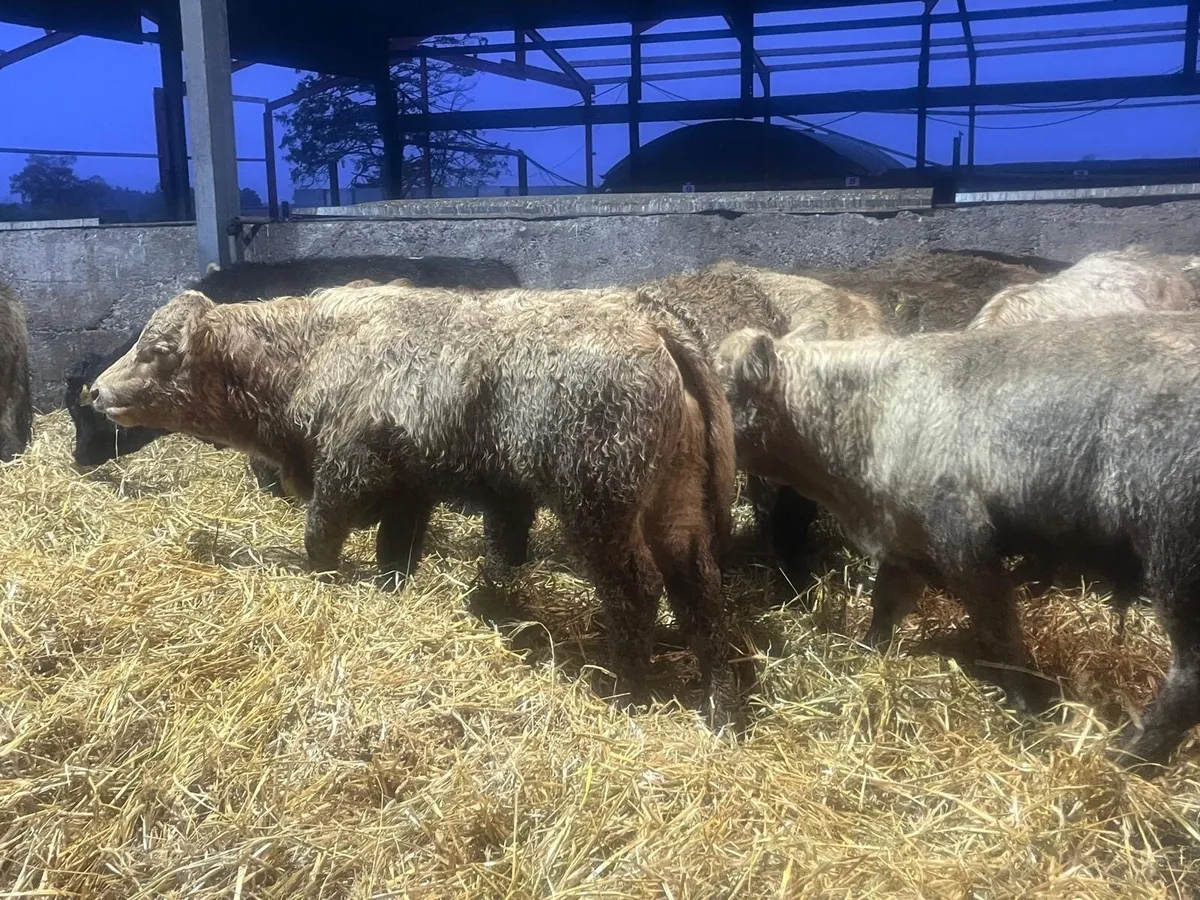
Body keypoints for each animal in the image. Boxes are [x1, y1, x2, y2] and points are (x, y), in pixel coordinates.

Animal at [89, 283, 741, 727]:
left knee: (638, 588)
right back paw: (717, 698)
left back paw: (627, 687)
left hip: (598, 505)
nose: (94, 390)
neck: (313, 352)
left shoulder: (349, 472)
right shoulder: (409, 491)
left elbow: (321, 540)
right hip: (675, 503)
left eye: (159, 351)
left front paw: (323, 584)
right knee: (697, 584)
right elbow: (394, 557)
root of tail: (647, 317)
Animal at [714, 311, 1200, 774]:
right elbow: (885, 607)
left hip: (1176, 552)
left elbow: (997, 627)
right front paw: (866, 659)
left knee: (1189, 673)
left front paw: (1027, 706)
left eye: (720, 383)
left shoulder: (962, 539)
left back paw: (1131, 757)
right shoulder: (904, 539)